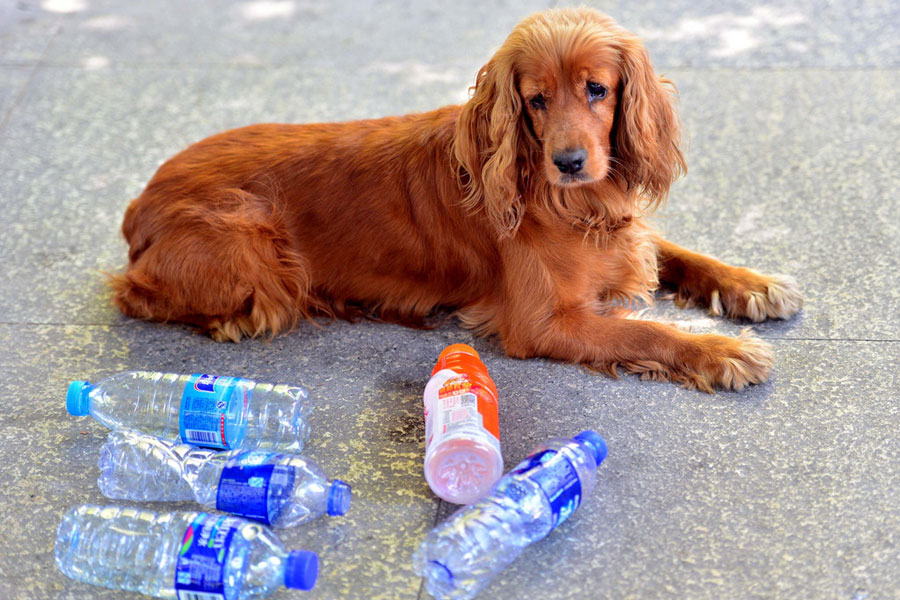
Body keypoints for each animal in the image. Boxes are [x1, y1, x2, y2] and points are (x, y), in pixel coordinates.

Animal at [110, 9, 800, 394]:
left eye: (597, 89)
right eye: (535, 99)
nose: (569, 163)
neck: (572, 204)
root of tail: (139, 202)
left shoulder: (623, 231)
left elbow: (680, 254)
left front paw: (752, 284)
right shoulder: (545, 323)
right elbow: (646, 331)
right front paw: (721, 350)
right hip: (254, 251)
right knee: (138, 294)